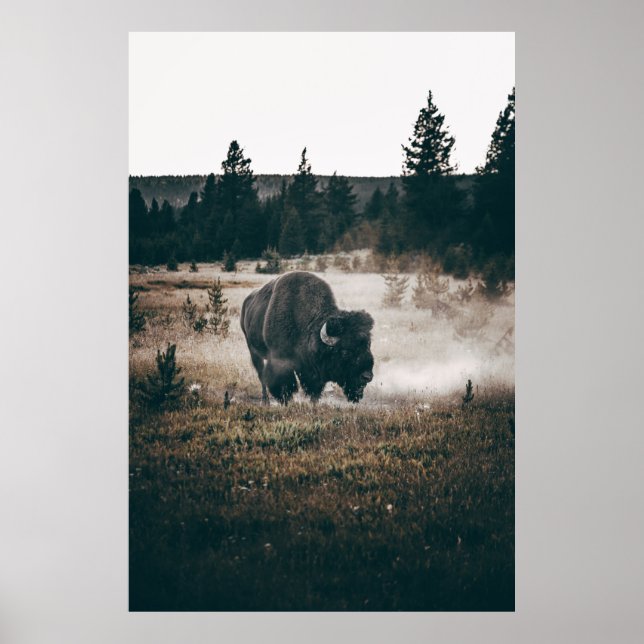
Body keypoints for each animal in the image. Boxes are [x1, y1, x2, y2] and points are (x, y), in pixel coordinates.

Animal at [241, 271, 374, 404]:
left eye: (368, 346)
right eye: (345, 352)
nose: (367, 377)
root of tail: (246, 303)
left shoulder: (313, 373)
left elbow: (314, 391)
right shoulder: (281, 362)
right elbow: (284, 386)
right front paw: (286, 402)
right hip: (253, 351)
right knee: (262, 376)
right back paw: (266, 401)